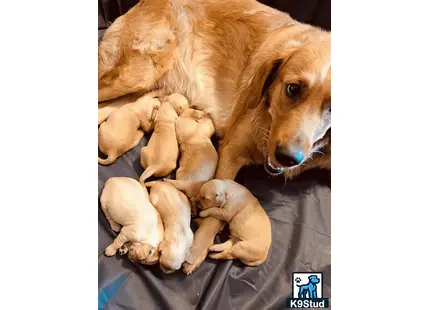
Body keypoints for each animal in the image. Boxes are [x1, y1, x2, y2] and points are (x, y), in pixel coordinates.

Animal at [98, 0, 330, 272]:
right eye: (292, 88)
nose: (288, 157)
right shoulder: (231, 150)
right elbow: (214, 213)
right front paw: (197, 250)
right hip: (136, 74)